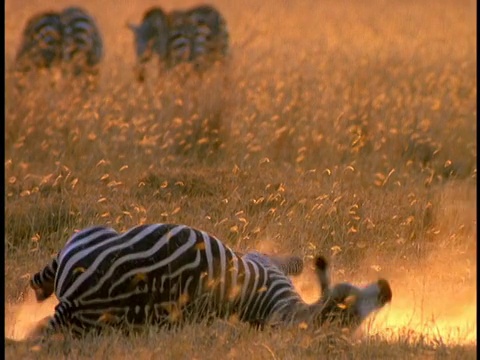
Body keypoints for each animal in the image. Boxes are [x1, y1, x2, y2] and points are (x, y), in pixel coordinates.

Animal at [29, 224, 390, 338]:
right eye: (348, 303)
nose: (387, 290)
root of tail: (80, 300)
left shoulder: (261, 260)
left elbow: (294, 260)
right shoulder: (263, 262)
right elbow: (296, 260)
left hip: (93, 233)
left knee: (42, 277)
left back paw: (38, 294)